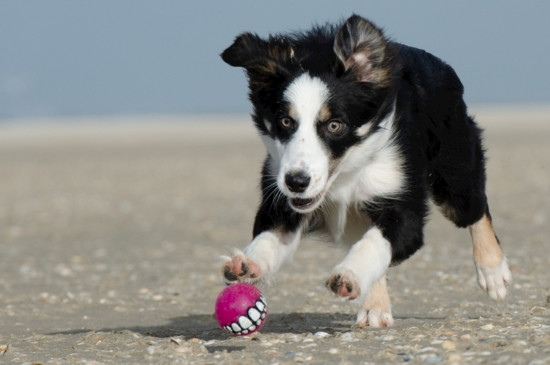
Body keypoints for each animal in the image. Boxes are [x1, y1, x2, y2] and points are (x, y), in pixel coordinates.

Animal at [221, 14, 512, 328]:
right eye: (286, 121)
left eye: (334, 125)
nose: (297, 182)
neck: (345, 173)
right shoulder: (280, 190)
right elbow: (271, 234)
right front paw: (248, 263)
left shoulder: (400, 197)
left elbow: (374, 243)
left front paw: (349, 275)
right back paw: (375, 307)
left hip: (452, 167)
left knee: (474, 208)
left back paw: (493, 272)